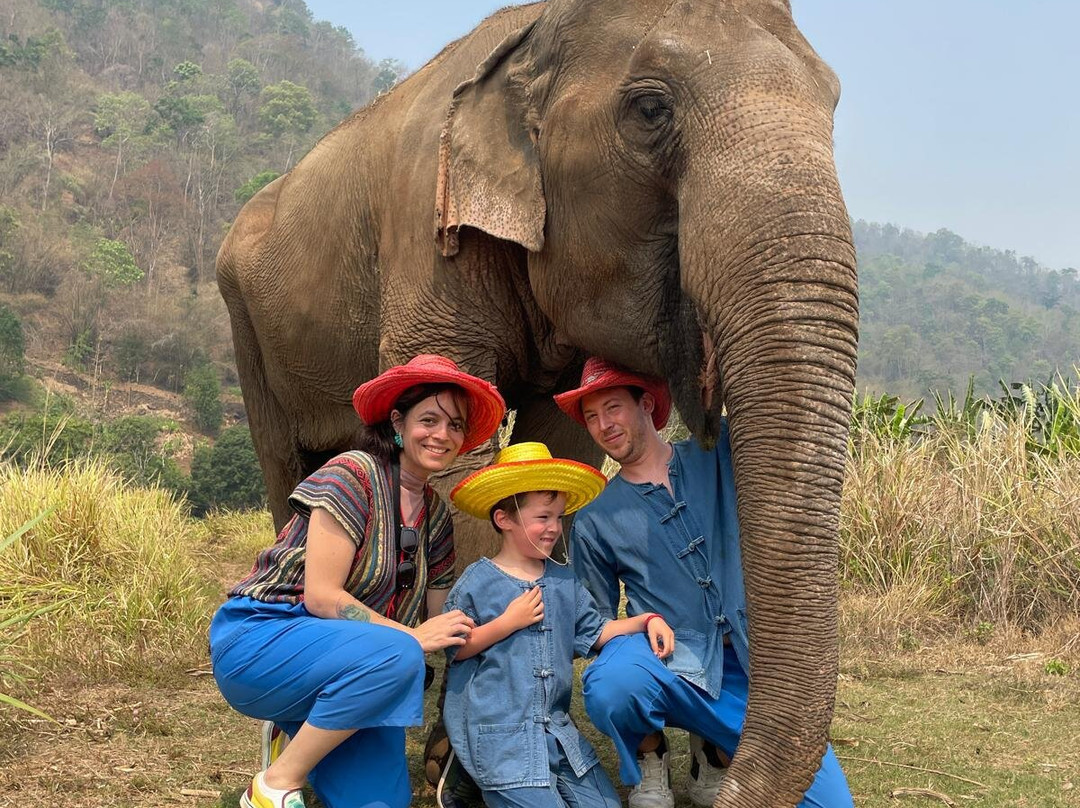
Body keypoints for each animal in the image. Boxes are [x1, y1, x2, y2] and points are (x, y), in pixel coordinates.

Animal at [215, 1, 858, 805]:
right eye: (650, 109)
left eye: (835, 104)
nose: (721, 770)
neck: (539, 30)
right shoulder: (427, 233)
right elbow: (467, 460)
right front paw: (454, 766)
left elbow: (563, 442)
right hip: (247, 329)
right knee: (289, 474)